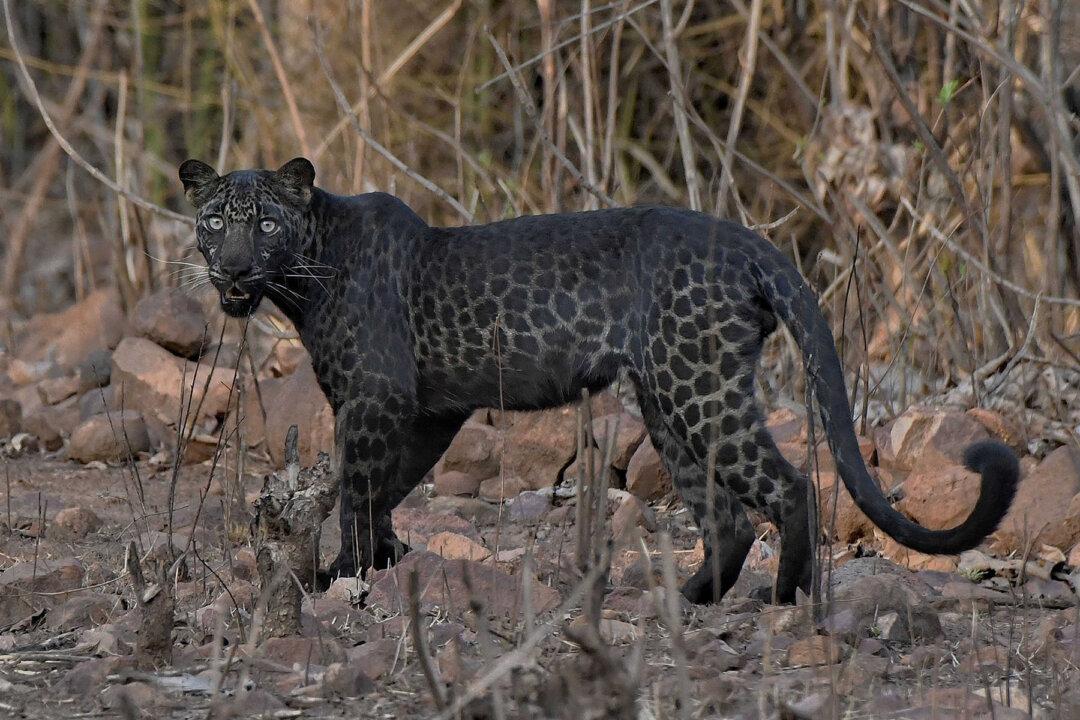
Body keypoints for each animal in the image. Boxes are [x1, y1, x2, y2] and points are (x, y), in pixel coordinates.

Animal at [178, 156, 1020, 604]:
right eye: (214, 220)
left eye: (265, 223)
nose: (233, 269)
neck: (305, 276)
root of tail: (750, 243)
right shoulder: (430, 408)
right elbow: (386, 487)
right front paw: (382, 561)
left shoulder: (376, 398)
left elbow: (356, 486)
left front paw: (343, 573)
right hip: (669, 401)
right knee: (727, 517)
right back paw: (687, 600)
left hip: (698, 389)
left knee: (789, 487)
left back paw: (785, 599)